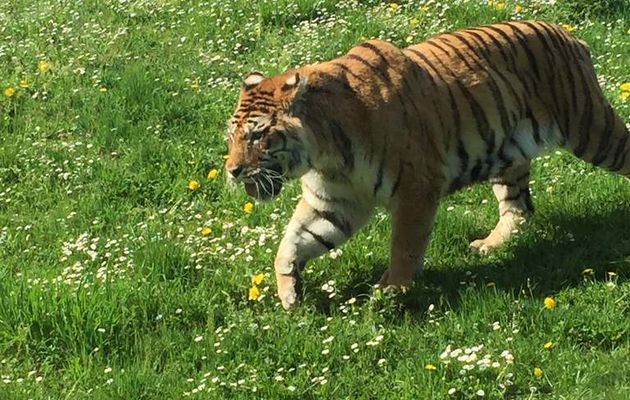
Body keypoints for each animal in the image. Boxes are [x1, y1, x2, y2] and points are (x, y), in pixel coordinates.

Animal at [225, 20, 628, 310]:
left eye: (257, 135)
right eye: (231, 137)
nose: (232, 171)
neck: (326, 152)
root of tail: (569, 35)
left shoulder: (416, 188)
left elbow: (405, 244)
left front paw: (390, 292)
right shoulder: (334, 202)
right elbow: (294, 241)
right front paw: (289, 292)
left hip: (592, 130)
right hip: (509, 155)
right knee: (520, 208)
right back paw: (490, 245)